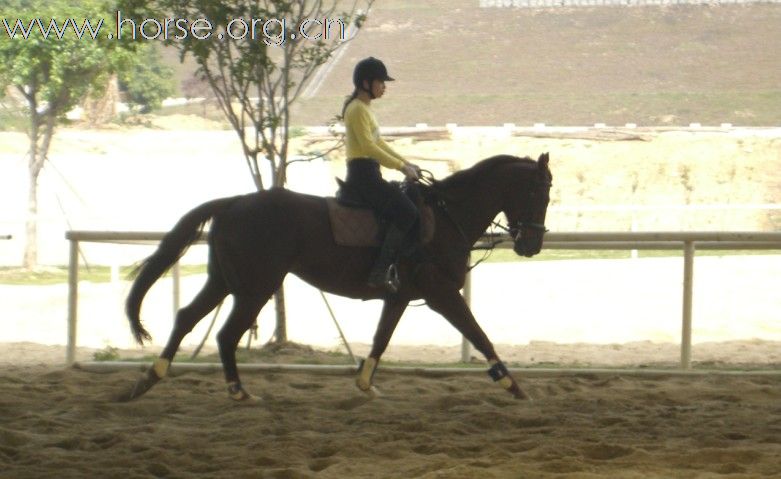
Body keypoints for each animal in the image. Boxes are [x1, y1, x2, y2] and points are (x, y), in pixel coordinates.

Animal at [122, 153, 552, 402]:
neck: (447, 219)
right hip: (255, 287)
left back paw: (149, 378)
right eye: (540, 192)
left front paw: (365, 383)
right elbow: (479, 334)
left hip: (225, 282)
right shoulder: (442, 294)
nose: (531, 245)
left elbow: (381, 339)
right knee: (226, 333)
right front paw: (512, 385)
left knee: (187, 318)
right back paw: (239, 392)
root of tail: (234, 203)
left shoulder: (399, 297)